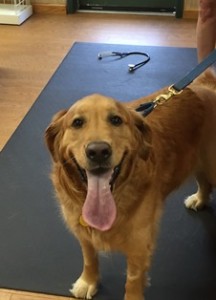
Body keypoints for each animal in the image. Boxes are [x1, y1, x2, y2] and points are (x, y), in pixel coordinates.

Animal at [44, 69, 216, 300]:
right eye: (77, 123)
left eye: (116, 120)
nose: (98, 151)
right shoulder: (83, 235)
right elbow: (89, 258)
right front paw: (88, 281)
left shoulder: (139, 244)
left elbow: (133, 281)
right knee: (203, 181)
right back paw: (200, 199)